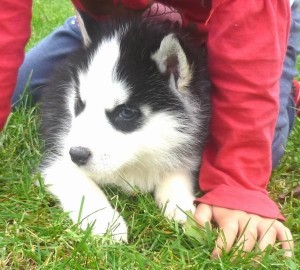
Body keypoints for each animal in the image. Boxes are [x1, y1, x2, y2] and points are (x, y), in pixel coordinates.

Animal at [39, 12, 211, 242]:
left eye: (126, 113)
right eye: (79, 103)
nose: (76, 154)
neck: (136, 158)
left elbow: (178, 173)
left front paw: (181, 207)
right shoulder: (56, 160)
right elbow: (83, 189)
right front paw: (105, 222)